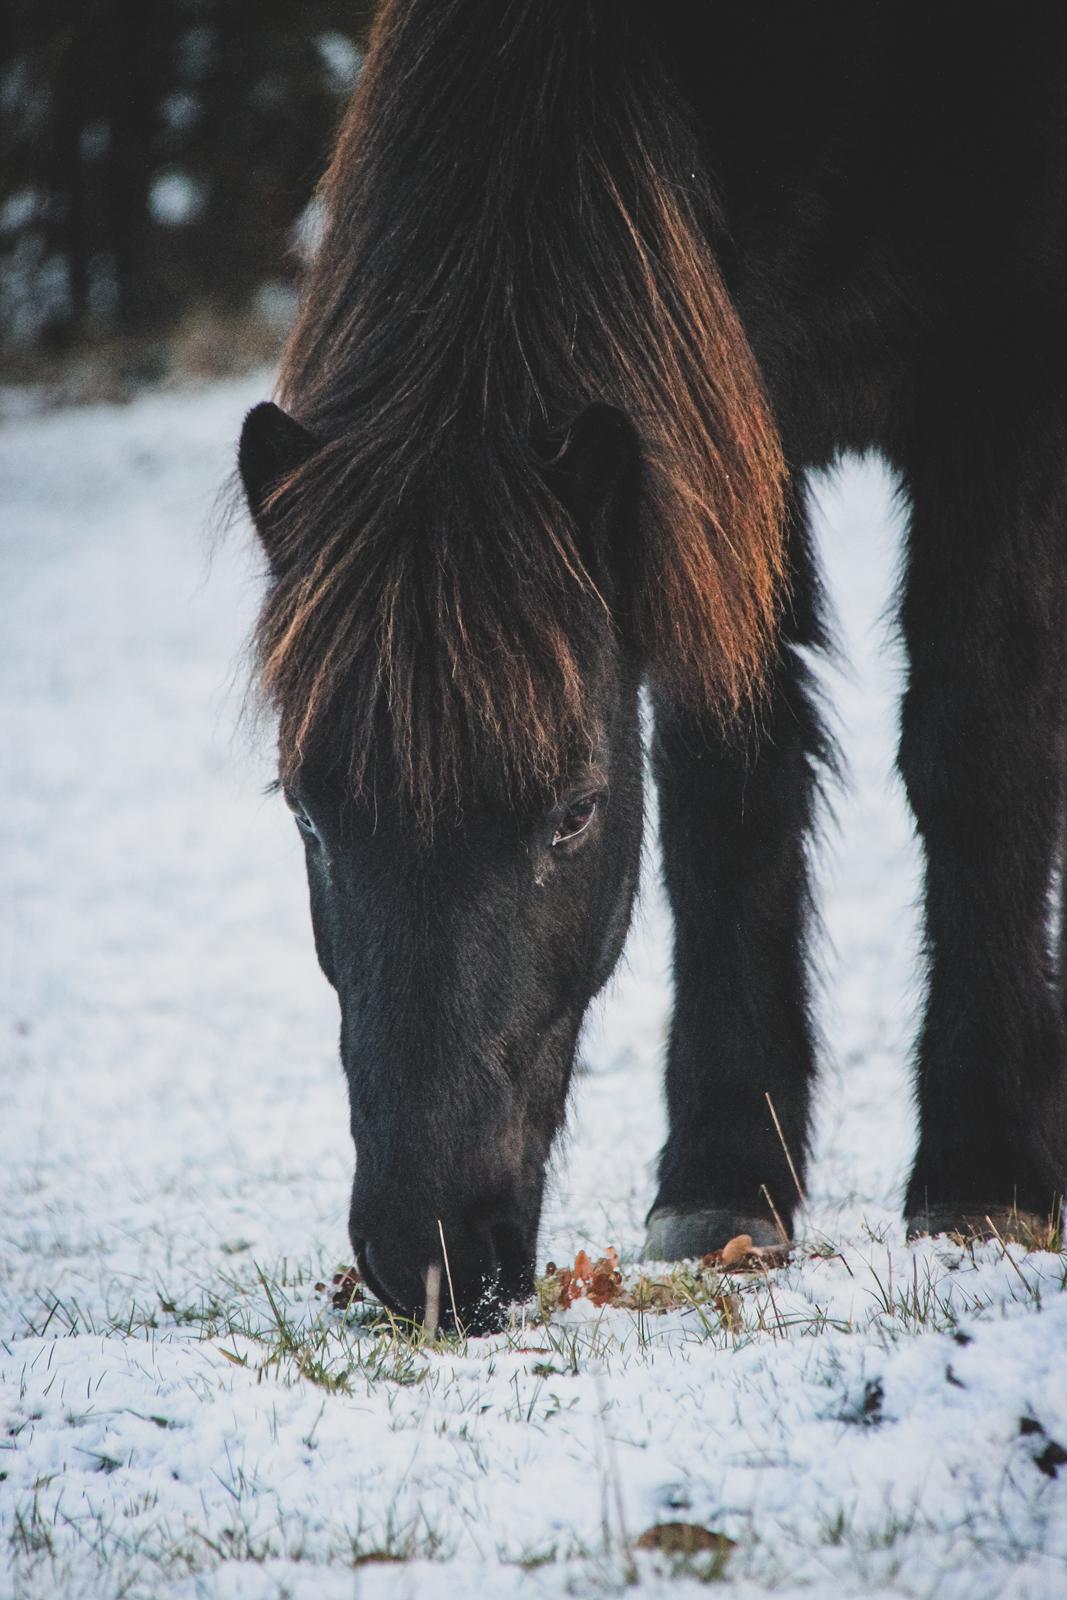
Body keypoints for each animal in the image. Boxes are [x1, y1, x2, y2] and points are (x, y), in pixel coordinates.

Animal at [239, 3, 1067, 1324]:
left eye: (574, 813)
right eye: (306, 814)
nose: (427, 1256)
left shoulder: (1000, 378)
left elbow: (976, 749)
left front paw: (985, 1170)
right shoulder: (728, 440)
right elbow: (730, 781)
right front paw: (725, 1179)